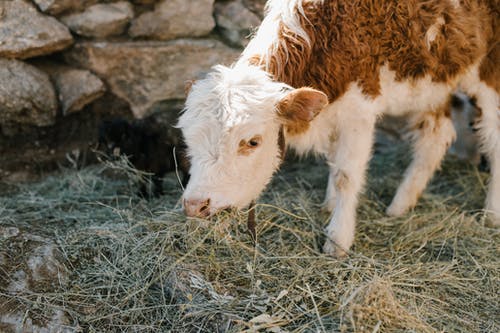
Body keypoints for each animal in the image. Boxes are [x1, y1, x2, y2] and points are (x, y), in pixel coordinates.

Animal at [178, 0, 498, 255]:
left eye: (252, 142)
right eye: (189, 142)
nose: (195, 204)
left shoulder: (359, 109)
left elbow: (346, 174)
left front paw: (338, 239)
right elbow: (333, 161)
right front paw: (329, 205)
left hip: (488, 72)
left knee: (493, 140)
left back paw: (491, 213)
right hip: (435, 81)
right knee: (436, 137)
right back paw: (399, 206)